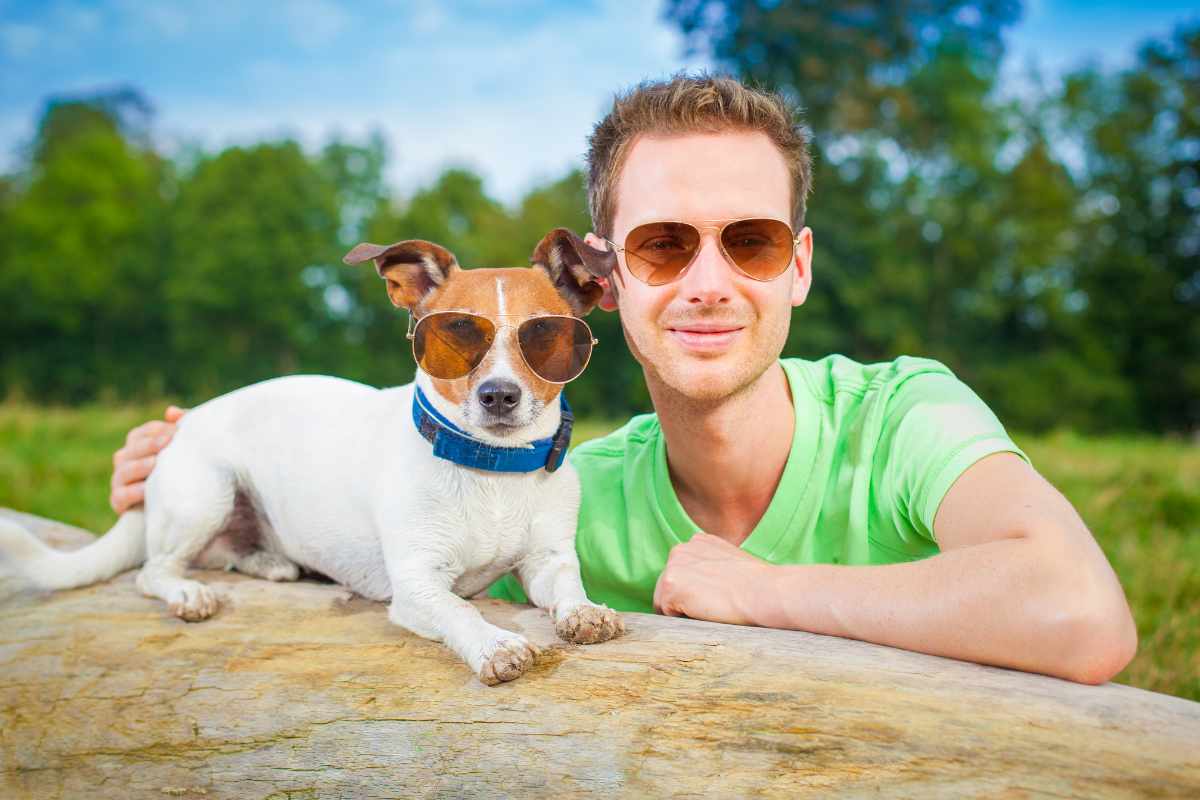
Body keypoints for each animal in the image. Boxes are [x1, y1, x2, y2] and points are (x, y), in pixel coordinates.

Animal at [2, 227, 628, 686]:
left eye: (544, 337)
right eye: (453, 335)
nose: (499, 395)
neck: (491, 466)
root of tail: (179, 434)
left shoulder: (546, 560)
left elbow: (567, 585)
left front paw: (583, 612)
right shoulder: (418, 584)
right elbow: (461, 610)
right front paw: (495, 644)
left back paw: (269, 561)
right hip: (206, 492)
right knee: (154, 571)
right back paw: (189, 593)